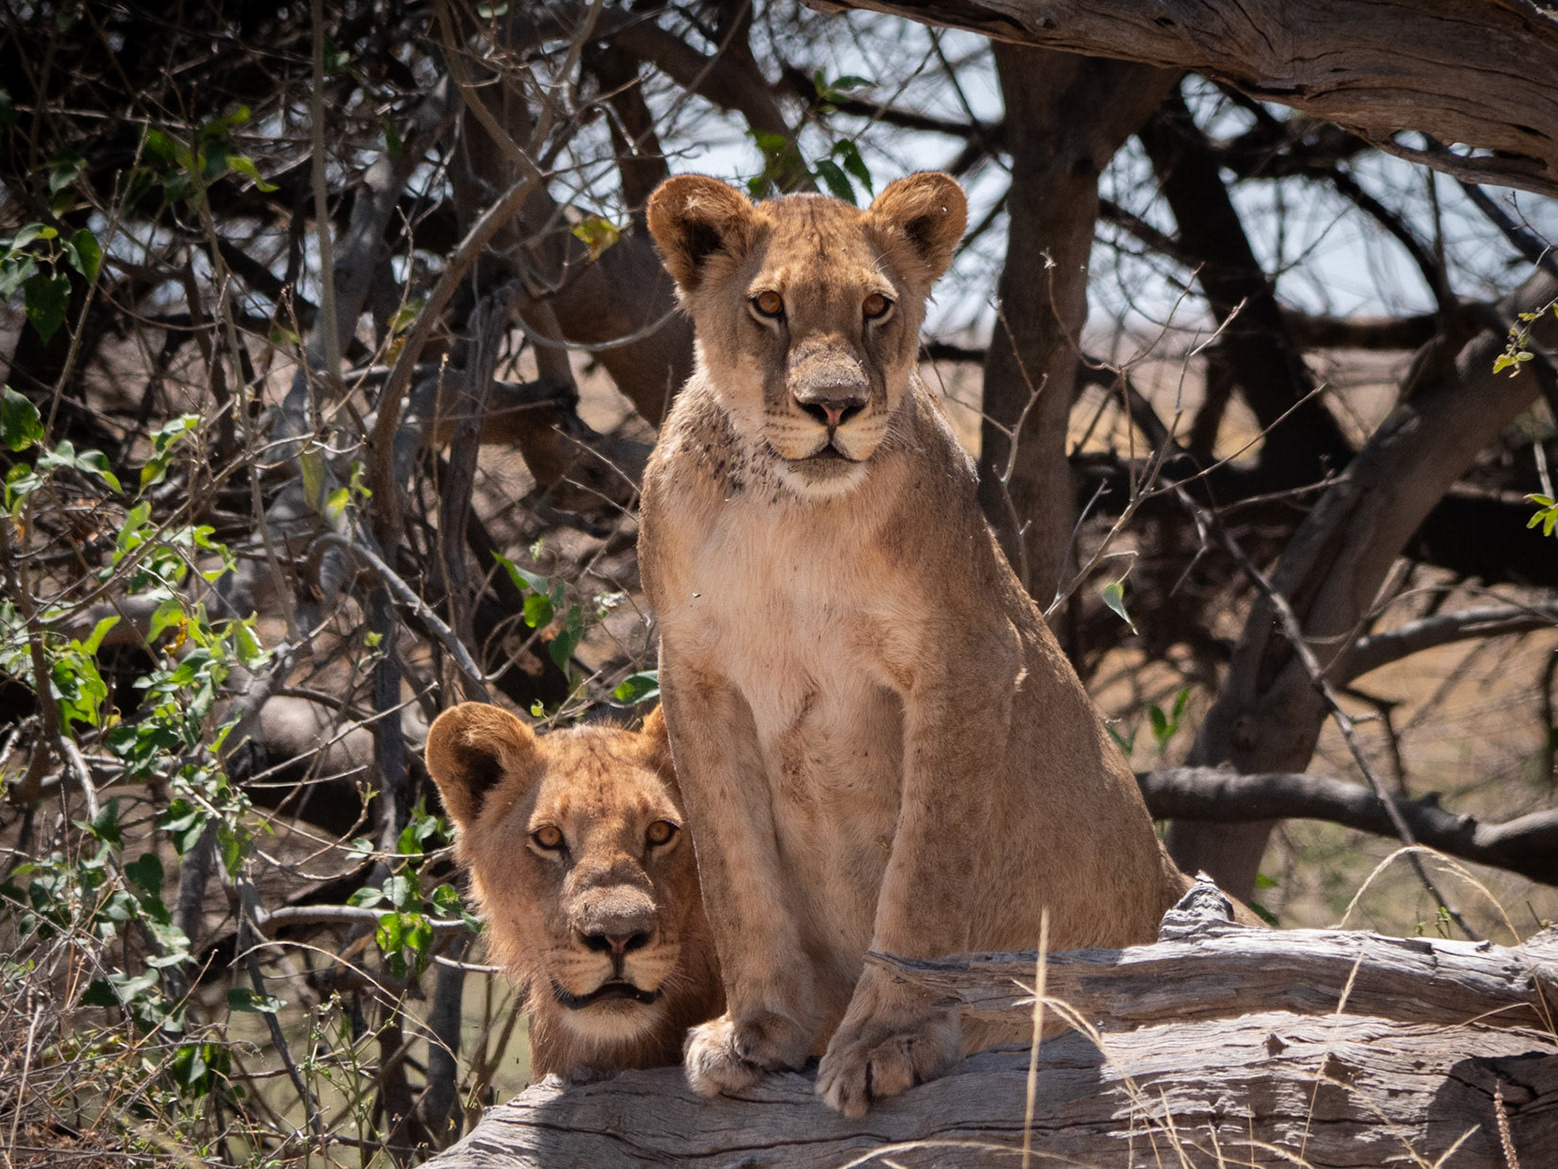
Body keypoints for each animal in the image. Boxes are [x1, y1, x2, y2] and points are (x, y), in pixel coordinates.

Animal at [639, 171, 1201, 1117]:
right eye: (767, 305)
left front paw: (883, 1040)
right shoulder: (695, 674)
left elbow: (922, 877)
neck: (791, 514)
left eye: (876, 306)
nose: (834, 406)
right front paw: (756, 1031)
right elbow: (734, 871)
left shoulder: (967, 658)